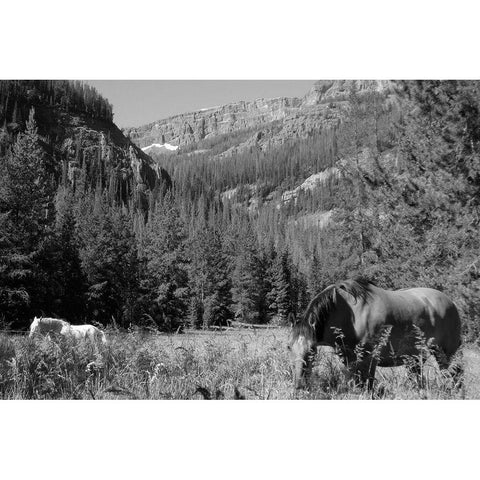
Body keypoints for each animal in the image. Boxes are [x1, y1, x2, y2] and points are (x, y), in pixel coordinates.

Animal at [288, 278, 462, 390]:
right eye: (289, 348)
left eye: (312, 350)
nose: (298, 385)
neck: (350, 314)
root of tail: (451, 303)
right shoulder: (350, 360)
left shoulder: (370, 359)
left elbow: (368, 386)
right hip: (415, 359)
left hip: (447, 353)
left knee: (454, 374)